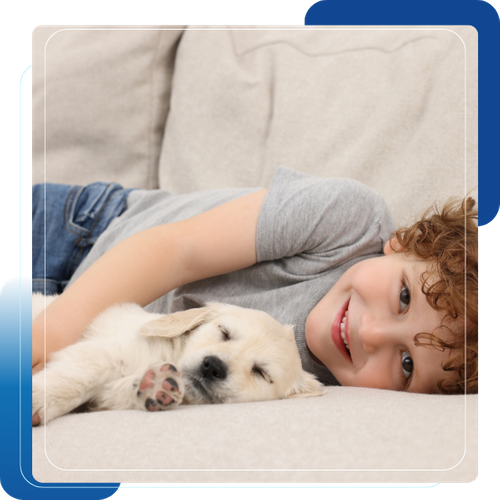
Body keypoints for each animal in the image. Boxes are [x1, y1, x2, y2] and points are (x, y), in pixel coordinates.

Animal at [33, 292, 326, 426]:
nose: (213, 366)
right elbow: (77, 379)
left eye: (261, 372)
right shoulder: (104, 354)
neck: (170, 353)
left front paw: (156, 387)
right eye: (224, 333)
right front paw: (38, 399)